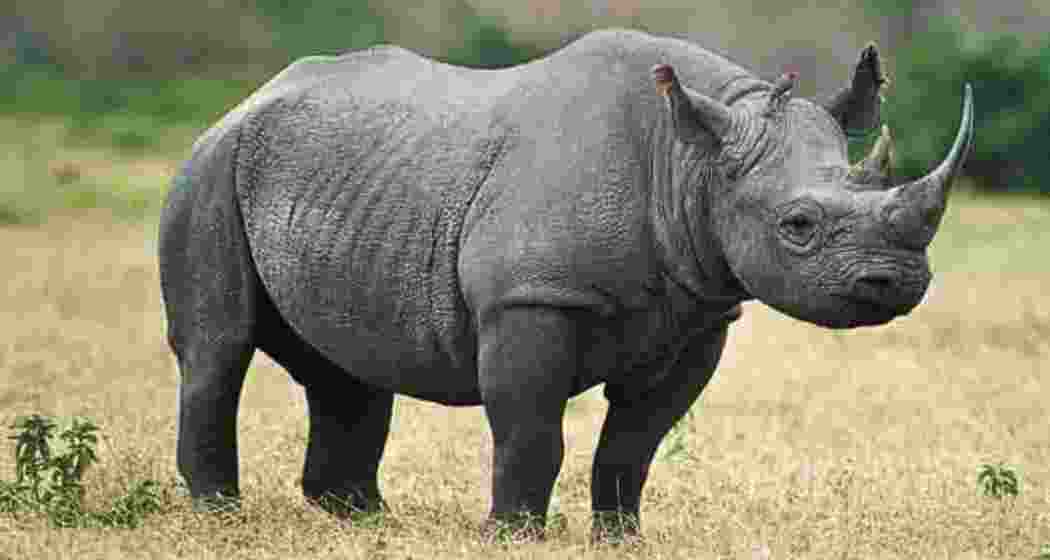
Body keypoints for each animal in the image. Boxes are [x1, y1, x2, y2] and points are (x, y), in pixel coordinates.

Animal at [158, 29, 974, 537]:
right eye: (797, 224)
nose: (898, 281)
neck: (690, 160)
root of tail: (245, 100)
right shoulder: (532, 298)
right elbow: (531, 431)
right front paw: (513, 535)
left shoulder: (700, 312)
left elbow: (636, 442)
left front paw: (622, 539)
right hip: (209, 169)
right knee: (218, 348)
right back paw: (222, 517)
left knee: (346, 369)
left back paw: (364, 519)